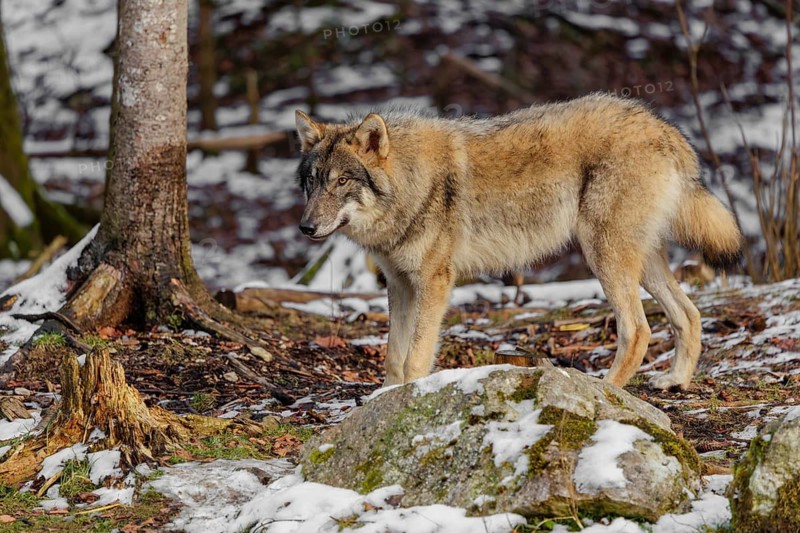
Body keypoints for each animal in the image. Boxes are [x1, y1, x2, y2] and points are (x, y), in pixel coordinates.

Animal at [294, 94, 742, 390]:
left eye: (343, 181)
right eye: (312, 182)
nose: (306, 228)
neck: (411, 185)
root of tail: (664, 128)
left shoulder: (434, 283)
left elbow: (416, 358)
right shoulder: (400, 285)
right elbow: (393, 357)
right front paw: (385, 400)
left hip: (604, 258)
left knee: (638, 330)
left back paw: (605, 390)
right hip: (642, 263)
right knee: (689, 315)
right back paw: (675, 381)